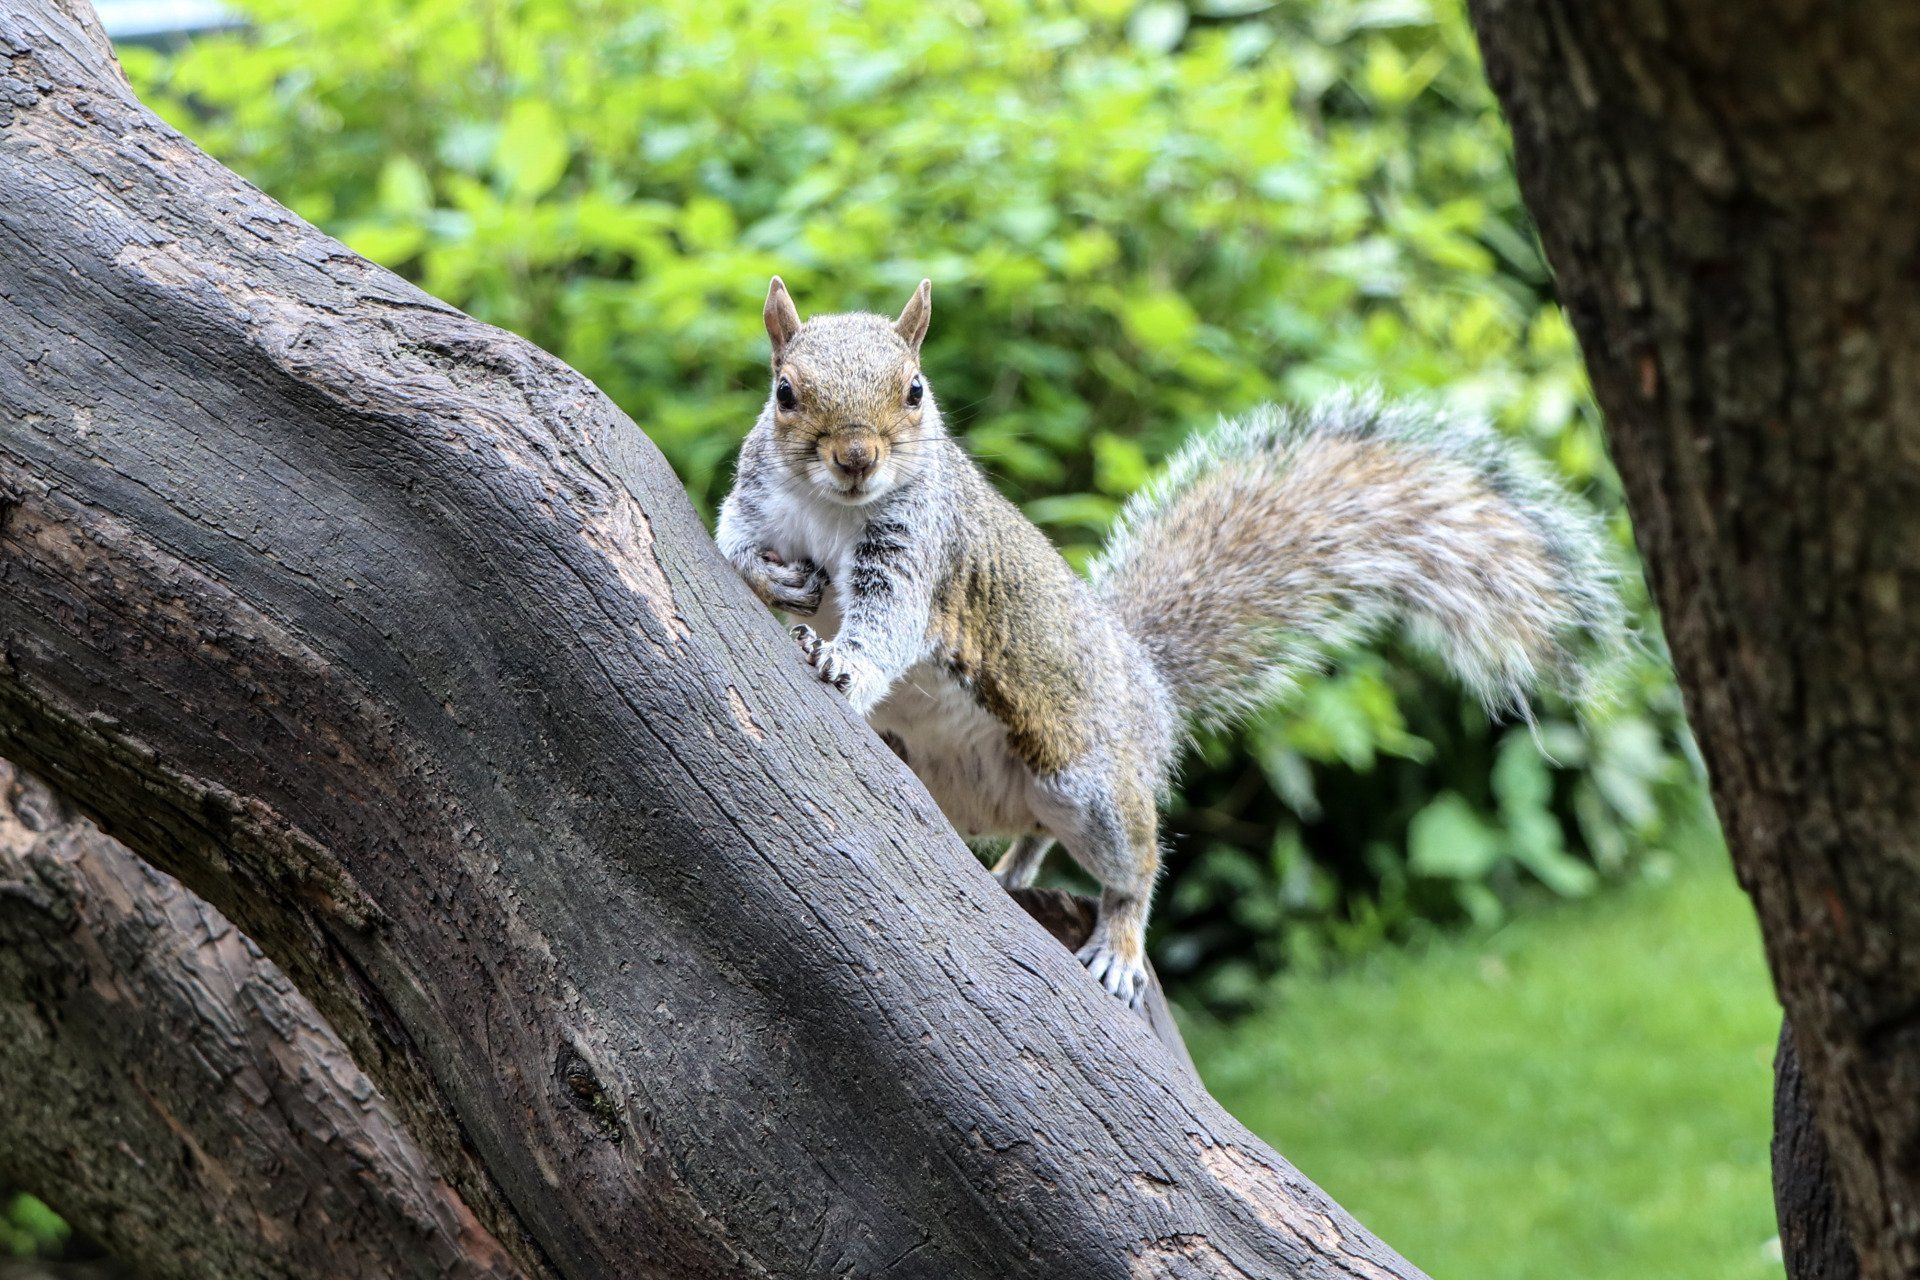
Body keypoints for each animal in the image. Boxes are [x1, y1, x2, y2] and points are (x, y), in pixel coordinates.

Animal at [718, 276, 1623, 1007]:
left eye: (914, 390)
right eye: (785, 391)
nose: (856, 458)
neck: (829, 509)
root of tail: (1146, 683)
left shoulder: (921, 553)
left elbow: (888, 624)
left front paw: (842, 659)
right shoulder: (756, 505)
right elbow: (734, 548)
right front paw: (776, 583)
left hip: (1089, 782)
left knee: (1136, 862)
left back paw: (1119, 942)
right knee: (1032, 834)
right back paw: (1008, 873)